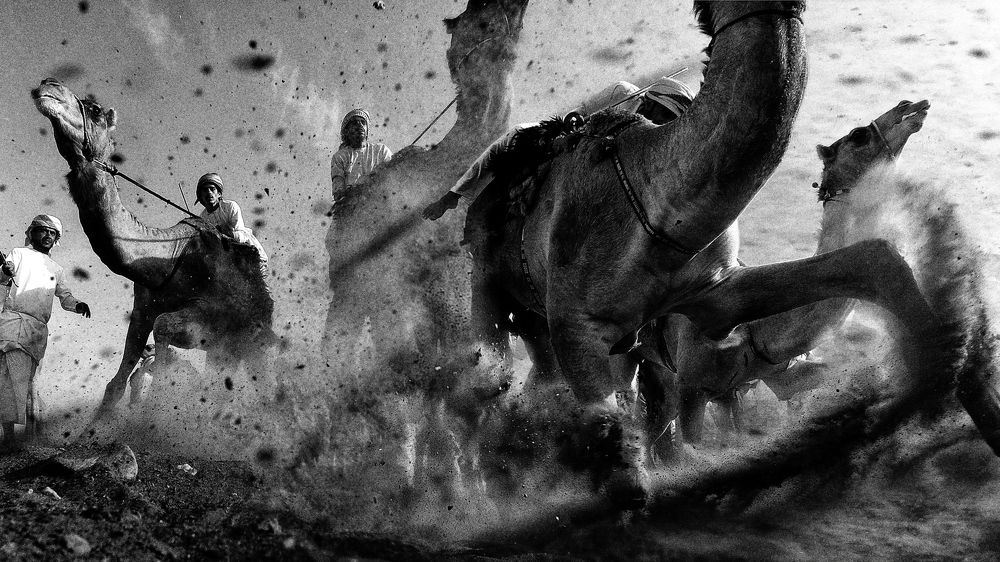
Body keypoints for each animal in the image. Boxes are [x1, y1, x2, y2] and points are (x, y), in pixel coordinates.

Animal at [31, 79, 275, 424]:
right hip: (228, 345)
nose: (49, 86)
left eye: (95, 110)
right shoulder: (142, 311)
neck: (171, 259)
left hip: (252, 338)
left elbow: (163, 336)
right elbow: (117, 383)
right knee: (220, 381)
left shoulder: (210, 316)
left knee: (260, 381)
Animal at [465, 0, 999, 505]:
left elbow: (875, 259)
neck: (657, 200)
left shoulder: (716, 298)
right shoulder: (587, 329)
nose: (913, 105)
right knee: (493, 385)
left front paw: (958, 385)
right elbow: (631, 472)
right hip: (492, 287)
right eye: (860, 135)